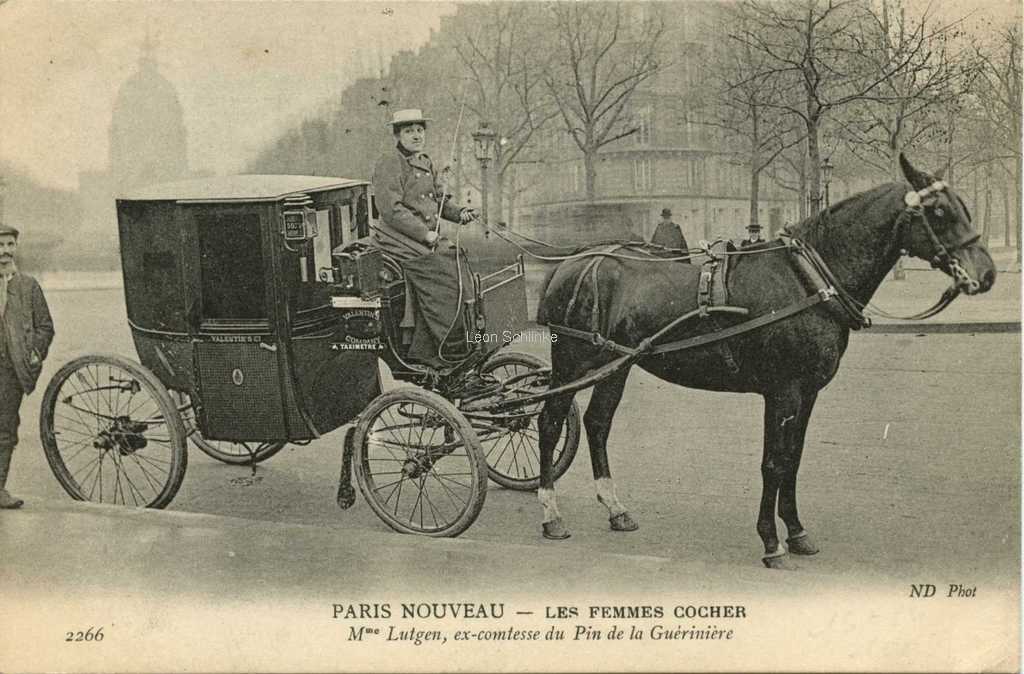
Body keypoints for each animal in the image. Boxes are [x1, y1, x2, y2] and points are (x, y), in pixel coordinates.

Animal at [533, 154, 997, 568]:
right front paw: (772, 543)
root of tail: (573, 263)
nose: (987, 273)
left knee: (597, 423)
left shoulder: (807, 394)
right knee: (551, 421)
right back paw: (551, 514)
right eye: (938, 212)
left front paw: (797, 533)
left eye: (963, 205)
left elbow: (793, 460)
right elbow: (773, 464)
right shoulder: (783, 392)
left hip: (615, 366)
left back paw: (616, 508)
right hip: (573, 361)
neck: (808, 279)